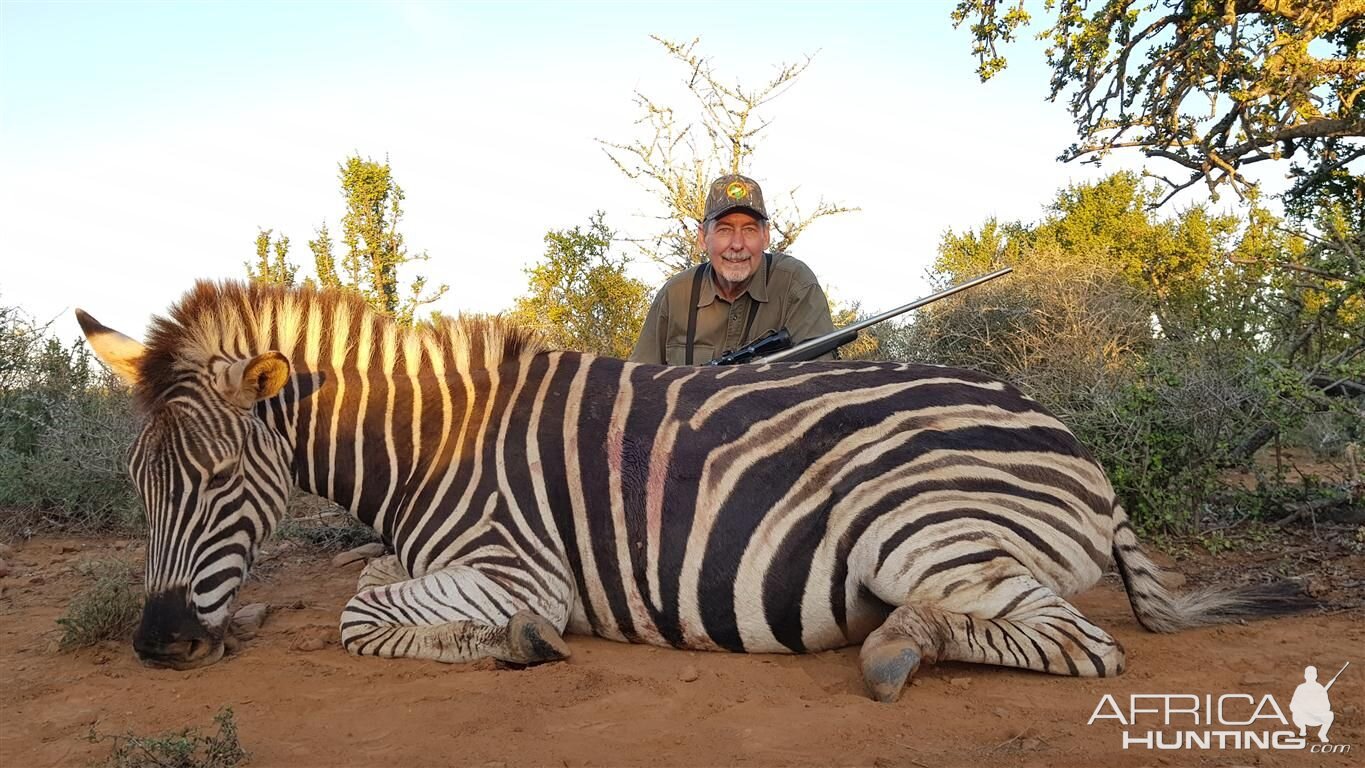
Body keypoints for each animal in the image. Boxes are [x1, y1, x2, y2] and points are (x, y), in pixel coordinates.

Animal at [77, 282, 1310, 703]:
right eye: (136, 484)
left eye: (219, 481)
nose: (159, 646)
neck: (434, 449)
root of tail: (1073, 440)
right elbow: (361, 581)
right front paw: (247, 615)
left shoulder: (518, 567)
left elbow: (360, 610)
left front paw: (515, 646)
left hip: (910, 526)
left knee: (1077, 644)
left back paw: (892, 648)